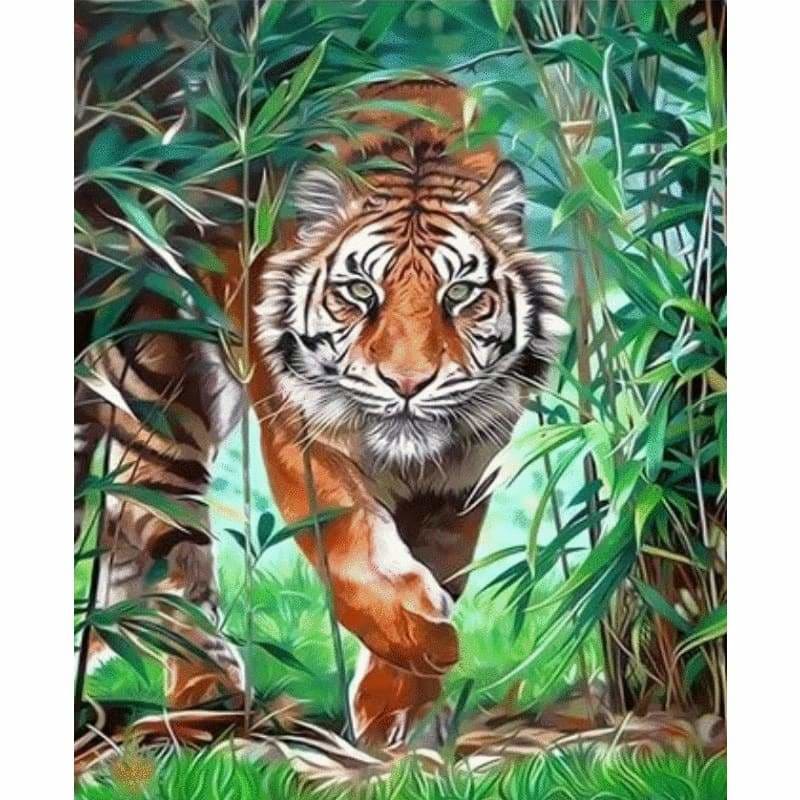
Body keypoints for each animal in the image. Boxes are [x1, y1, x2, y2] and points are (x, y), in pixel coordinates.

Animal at [74, 77, 566, 747]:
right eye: (360, 292)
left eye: (460, 294)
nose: (407, 383)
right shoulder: (304, 440)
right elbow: (350, 546)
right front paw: (427, 638)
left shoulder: (464, 471)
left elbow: (442, 560)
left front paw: (396, 713)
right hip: (160, 404)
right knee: (168, 552)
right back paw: (206, 707)